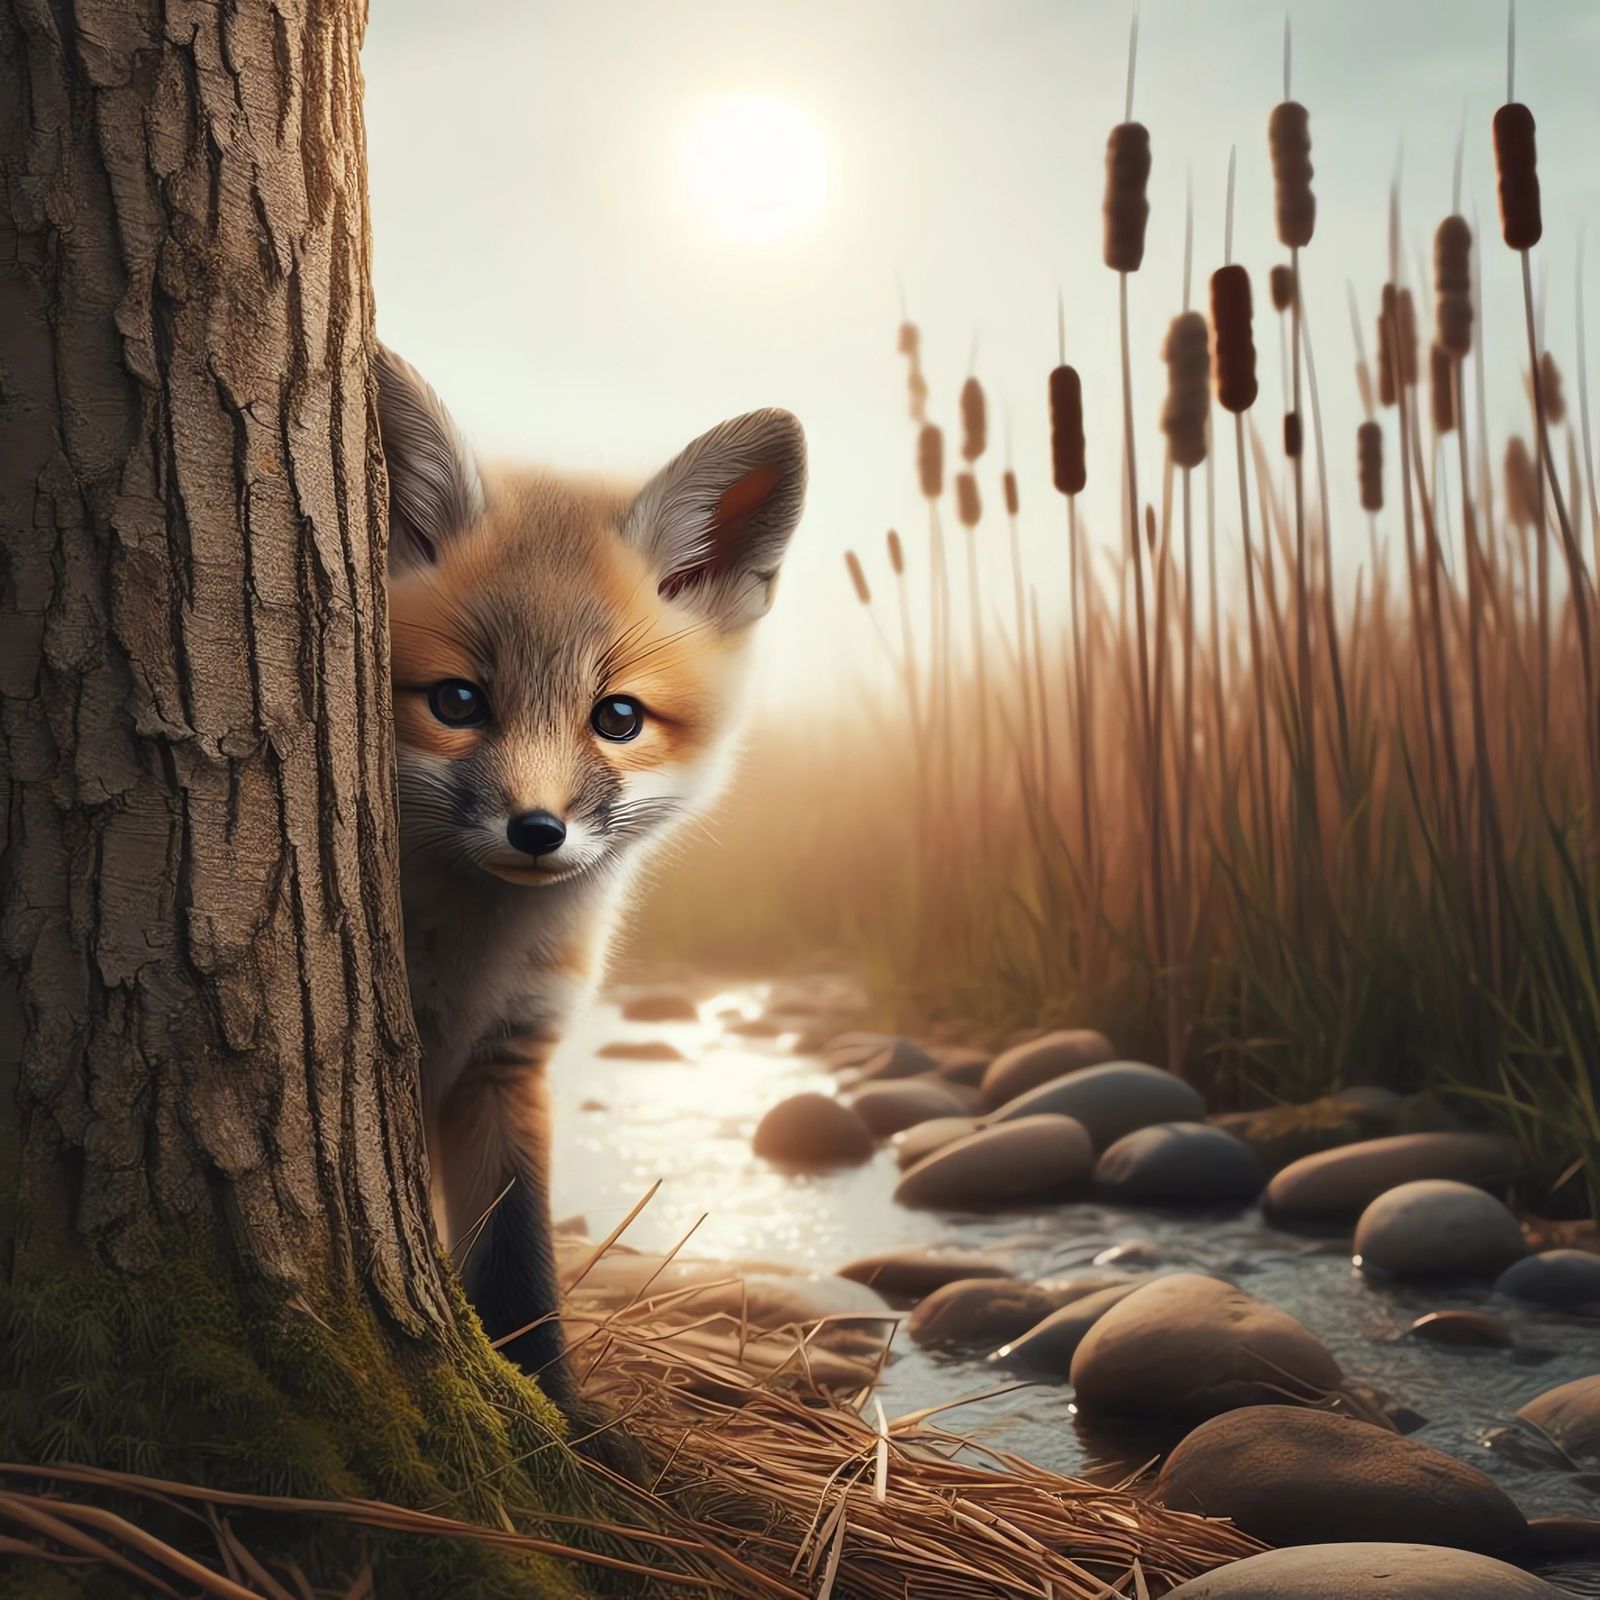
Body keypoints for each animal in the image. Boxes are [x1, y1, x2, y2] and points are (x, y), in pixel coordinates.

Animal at [374, 344, 806, 1418]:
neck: (471, 961)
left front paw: (557, 1419)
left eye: (617, 718)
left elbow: (517, 1269)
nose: (538, 830)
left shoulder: (506, 1062)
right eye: (457, 701)